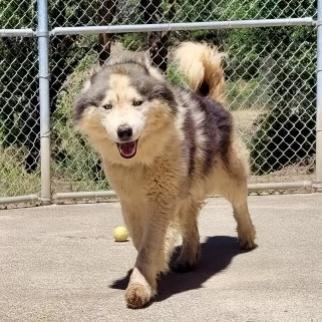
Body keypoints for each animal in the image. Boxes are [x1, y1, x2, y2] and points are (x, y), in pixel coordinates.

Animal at [73, 41, 256, 308]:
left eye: (137, 102)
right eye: (107, 106)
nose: (124, 131)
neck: (141, 160)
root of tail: (210, 99)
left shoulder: (162, 199)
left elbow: (149, 246)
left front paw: (140, 286)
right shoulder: (131, 201)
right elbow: (140, 240)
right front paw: (152, 273)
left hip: (228, 177)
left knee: (240, 205)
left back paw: (247, 237)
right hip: (187, 188)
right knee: (190, 220)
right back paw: (188, 257)